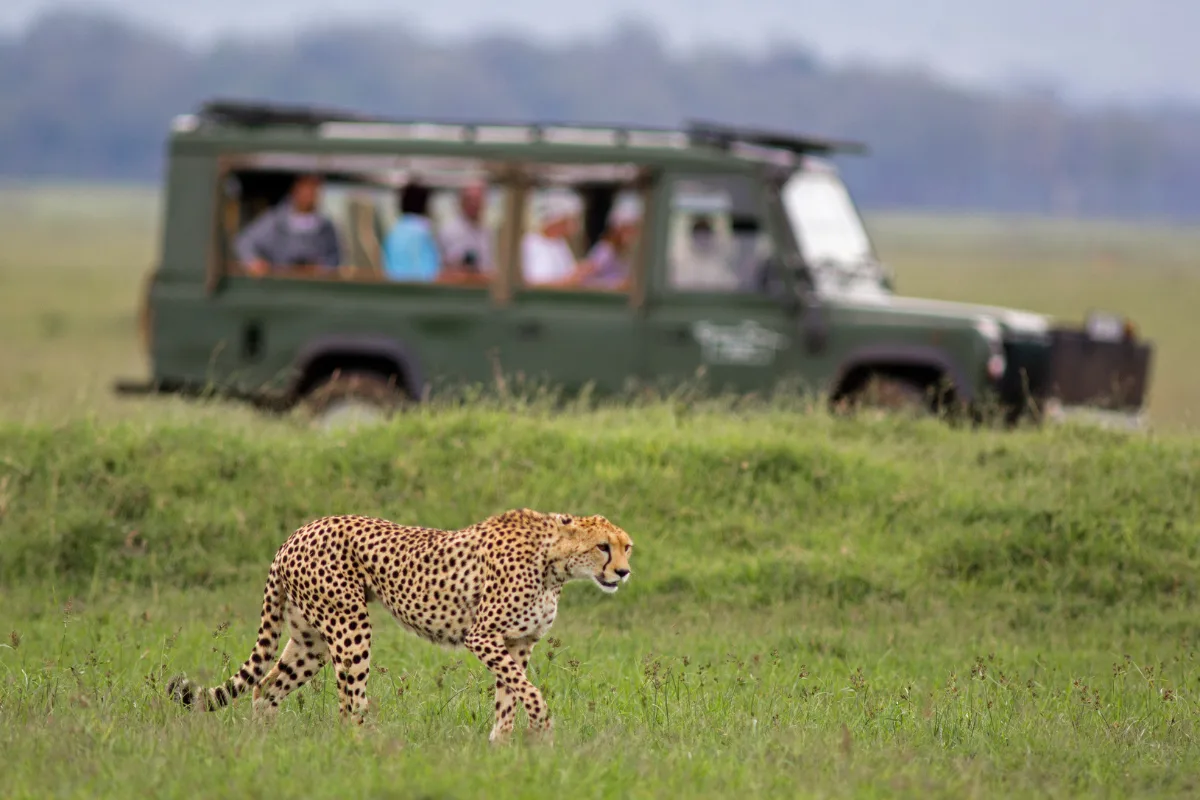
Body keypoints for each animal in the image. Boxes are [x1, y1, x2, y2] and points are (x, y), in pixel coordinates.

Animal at [165, 507, 634, 743]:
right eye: (602, 547)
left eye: (626, 547)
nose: (624, 572)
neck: (555, 562)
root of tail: (296, 534)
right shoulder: (483, 636)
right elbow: (529, 692)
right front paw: (544, 730)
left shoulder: (517, 644)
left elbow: (510, 697)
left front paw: (502, 748)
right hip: (350, 625)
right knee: (348, 704)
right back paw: (368, 750)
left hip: (310, 640)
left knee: (265, 689)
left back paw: (265, 748)